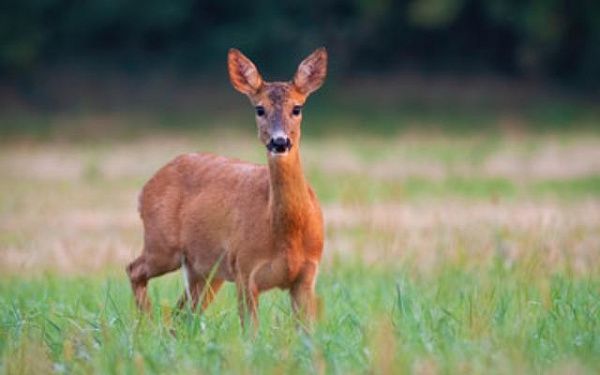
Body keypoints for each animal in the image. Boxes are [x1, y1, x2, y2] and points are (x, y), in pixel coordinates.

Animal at [124, 47, 326, 328]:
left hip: (205, 269)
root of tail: (145, 189)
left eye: (297, 108)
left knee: (182, 311)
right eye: (259, 109)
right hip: (162, 244)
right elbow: (250, 331)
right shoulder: (244, 269)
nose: (279, 142)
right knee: (134, 269)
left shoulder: (307, 276)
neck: (288, 234)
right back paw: (148, 324)